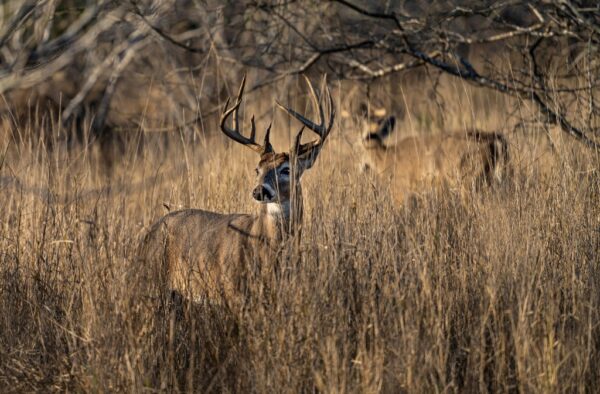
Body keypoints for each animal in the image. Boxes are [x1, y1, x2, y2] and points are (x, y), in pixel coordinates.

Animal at [141, 77, 336, 304]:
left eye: (287, 169)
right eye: (257, 169)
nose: (259, 191)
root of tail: (150, 231)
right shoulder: (231, 290)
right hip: (153, 279)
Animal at [358, 104, 508, 205]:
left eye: (366, 137)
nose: (361, 166)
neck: (386, 159)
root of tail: (493, 139)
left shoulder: (400, 189)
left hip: (468, 180)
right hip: (485, 178)